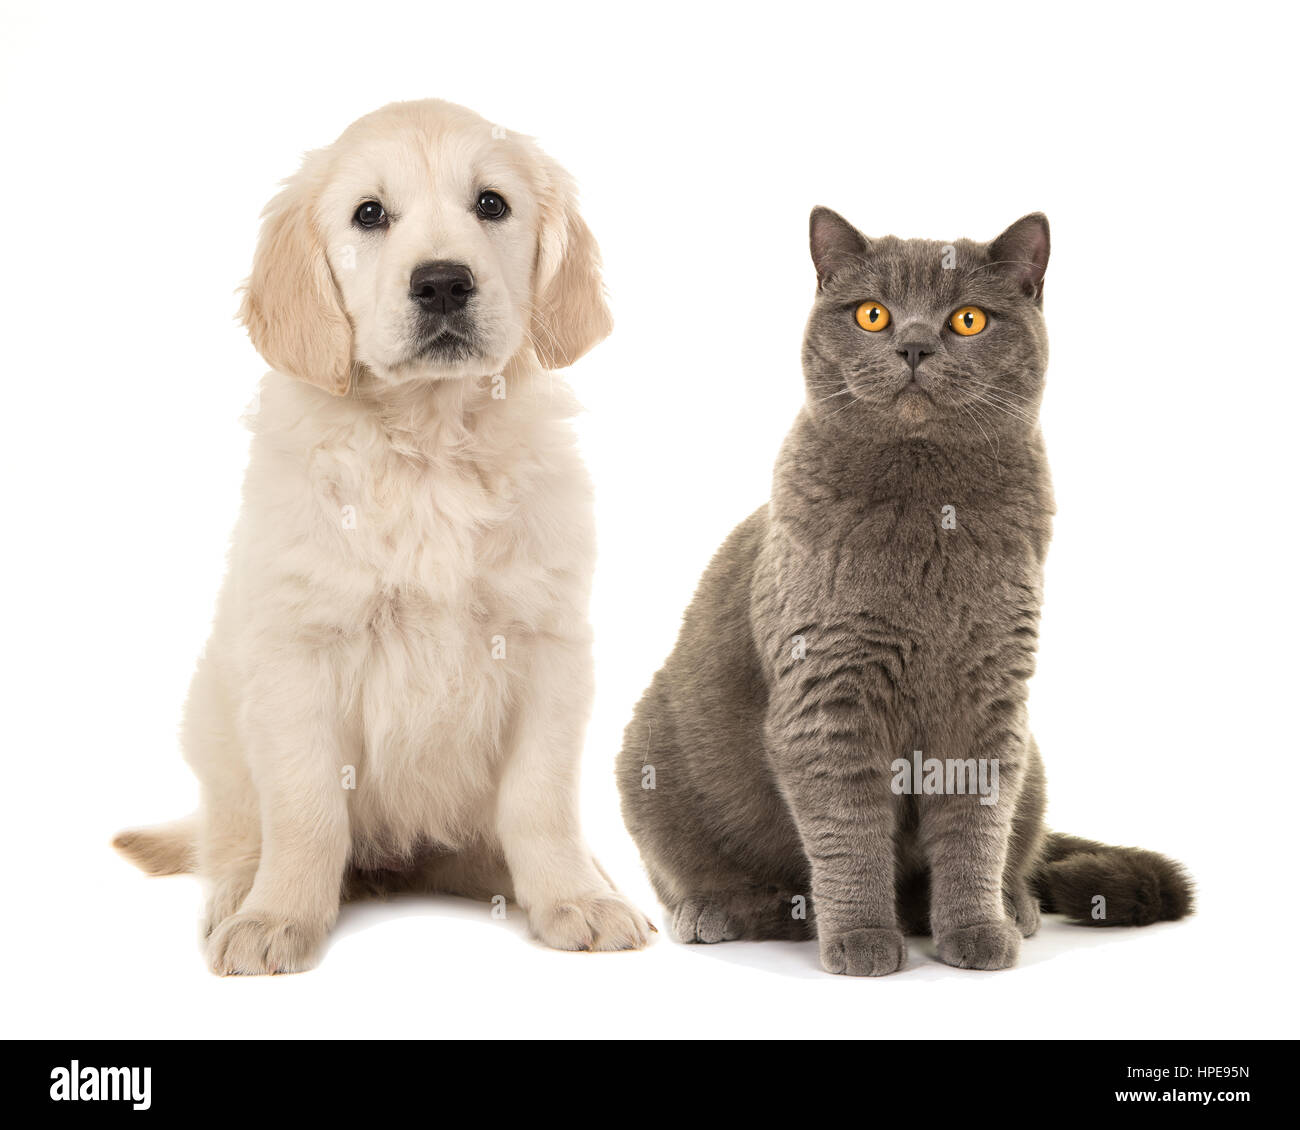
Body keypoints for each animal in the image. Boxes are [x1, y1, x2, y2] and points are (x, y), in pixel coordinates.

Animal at [116, 99, 655, 967]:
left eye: (491, 204)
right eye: (369, 215)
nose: (442, 282)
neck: (428, 442)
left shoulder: (547, 643)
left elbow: (540, 797)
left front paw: (574, 896)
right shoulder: (298, 652)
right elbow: (304, 807)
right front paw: (279, 917)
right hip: (213, 721)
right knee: (229, 833)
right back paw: (238, 892)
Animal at [613, 206, 1190, 972]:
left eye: (969, 319)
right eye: (873, 314)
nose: (915, 344)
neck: (928, 511)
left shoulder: (992, 696)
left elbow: (975, 829)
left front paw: (974, 931)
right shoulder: (829, 691)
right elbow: (849, 832)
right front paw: (860, 939)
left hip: (1032, 757)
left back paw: (1008, 905)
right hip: (645, 755)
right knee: (691, 872)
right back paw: (732, 910)